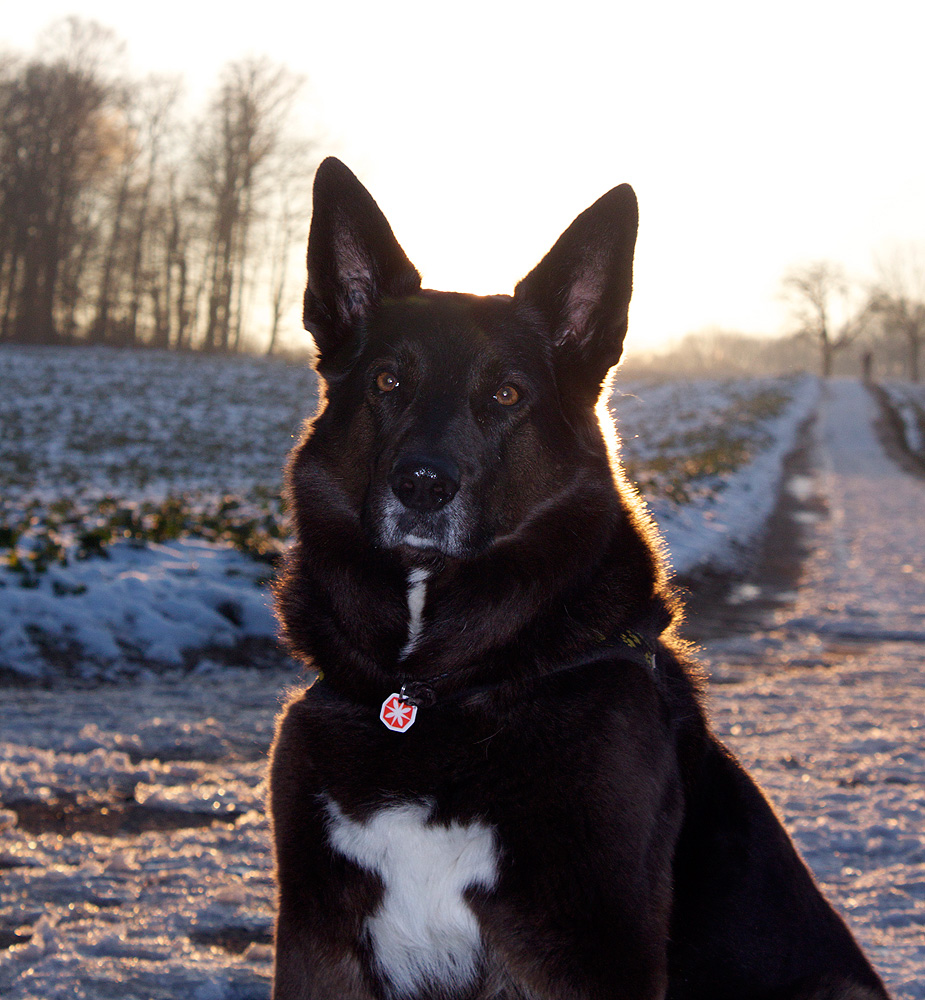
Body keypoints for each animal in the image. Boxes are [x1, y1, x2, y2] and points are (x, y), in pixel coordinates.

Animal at [268, 158, 888, 1000]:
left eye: (506, 395)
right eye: (388, 382)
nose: (421, 486)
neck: (430, 694)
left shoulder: (588, 952)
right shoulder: (317, 943)